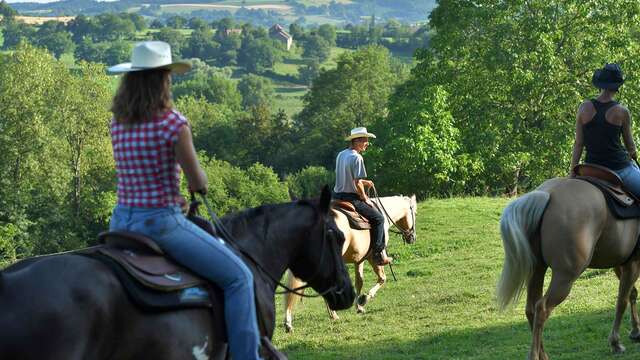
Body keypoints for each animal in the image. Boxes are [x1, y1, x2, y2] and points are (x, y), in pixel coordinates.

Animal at [282, 195, 418, 334]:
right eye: (415, 212)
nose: (412, 237)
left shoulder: (359, 259)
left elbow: (359, 282)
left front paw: (359, 306)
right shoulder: (373, 257)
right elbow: (382, 278)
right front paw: (364, 299)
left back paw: (291, 323)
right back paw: (332, 315)